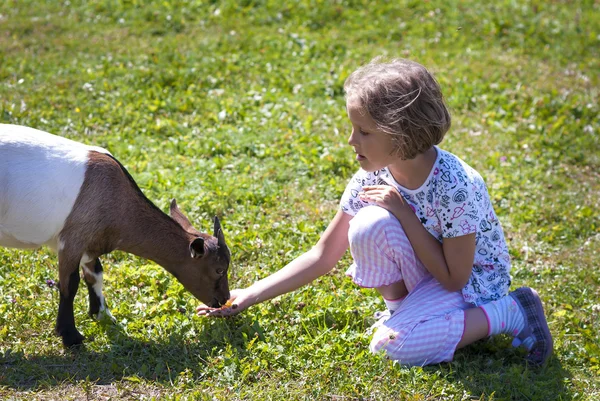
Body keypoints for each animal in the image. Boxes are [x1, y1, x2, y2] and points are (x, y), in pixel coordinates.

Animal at [0, 125, 231, 346]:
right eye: (219, 269)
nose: (224, 299)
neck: (116, 200)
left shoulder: (90, 243)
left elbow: (95, 275)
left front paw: (102, 315)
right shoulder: (72, 239)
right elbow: (70, 285)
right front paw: (71, 336)